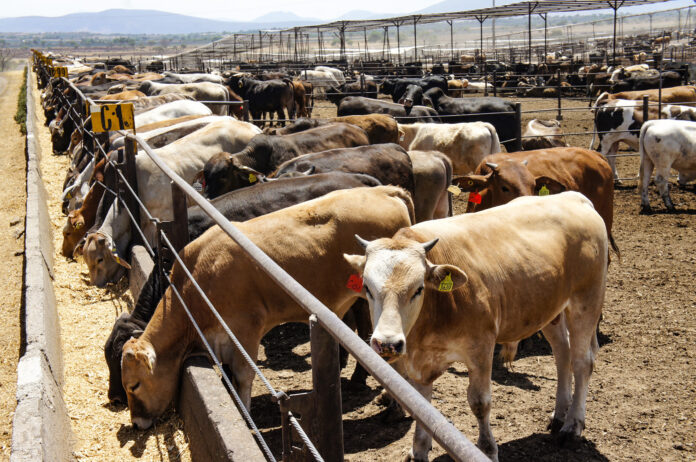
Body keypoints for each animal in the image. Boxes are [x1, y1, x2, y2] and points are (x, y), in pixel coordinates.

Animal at [120, 185, 416, 430]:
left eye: (133, 385)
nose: (135, 423)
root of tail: (384, 190)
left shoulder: (246, 328)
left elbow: (243, 375)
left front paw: (246, 416)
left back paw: (393, 408)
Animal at [344, 190, 608, 458]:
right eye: (367, 288)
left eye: (418, 289)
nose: (387, 343)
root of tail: (573, 197)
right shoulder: (419, 361)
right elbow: (420, 403)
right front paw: (418, 450)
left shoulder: (481, 348)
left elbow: (479, 402)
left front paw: (487, 449)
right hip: (550, 309)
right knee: (562, 354)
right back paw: (559, 415)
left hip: (586, 301)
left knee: (582, 361)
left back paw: (572, 425)